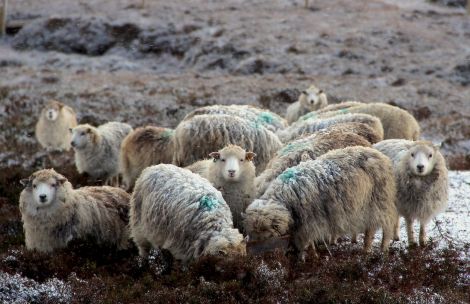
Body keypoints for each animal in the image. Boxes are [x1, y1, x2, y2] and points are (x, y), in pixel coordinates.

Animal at [244, 146, 398, 260]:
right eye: (254, 230)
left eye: (265, 230)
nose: (257, 251)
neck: (286, 196)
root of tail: (380, 156)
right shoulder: (302, 224)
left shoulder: (309, 222)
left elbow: (306, 242)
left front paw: (308, 257)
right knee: (370, 228)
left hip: (379, 201)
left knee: (385, 225)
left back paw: (380, 249)